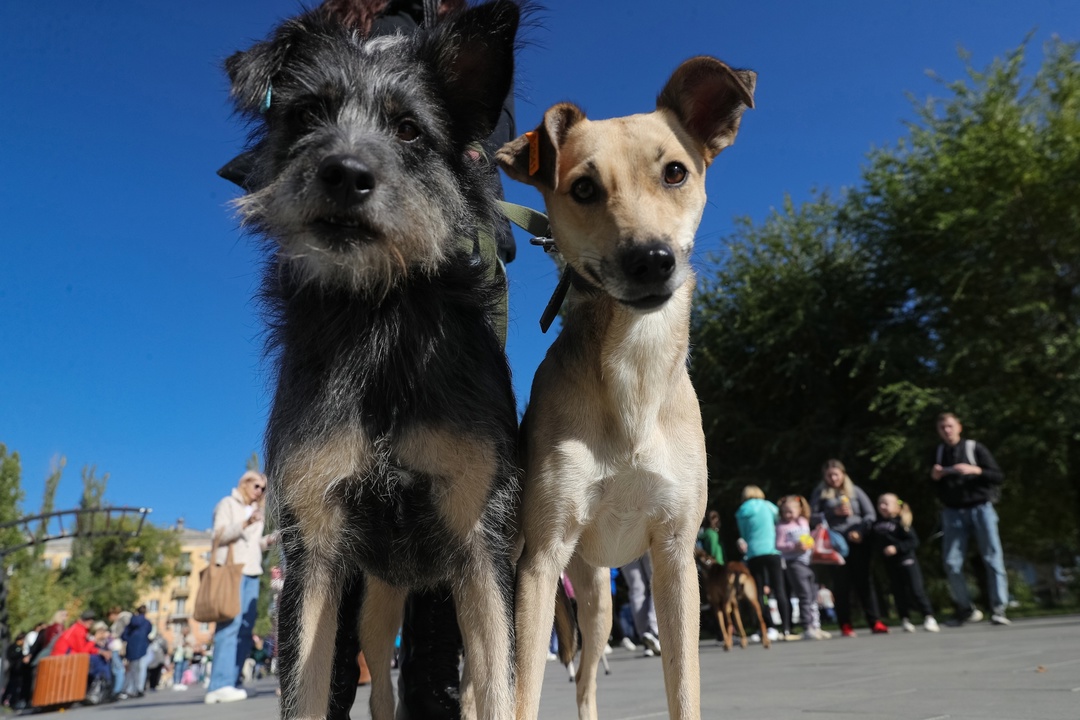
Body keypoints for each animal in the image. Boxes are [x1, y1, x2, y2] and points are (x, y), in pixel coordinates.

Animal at [222, 2, 518, 716]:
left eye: (409, 129)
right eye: (306, 114)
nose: (346, 173)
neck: (379, 316)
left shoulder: (481, 543)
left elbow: (504, 687)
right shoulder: (313, 552)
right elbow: (303, 690)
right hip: (375, 605)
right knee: (380, 684)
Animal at [494, 57, 756, 720]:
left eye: (675, 172)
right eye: (584, 188)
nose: (651, 260)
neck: (632, 376)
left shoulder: (675, 558)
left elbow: (684, 689)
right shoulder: (540, 561)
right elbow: (520, 696)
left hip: (599, 598)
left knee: (586, 681)